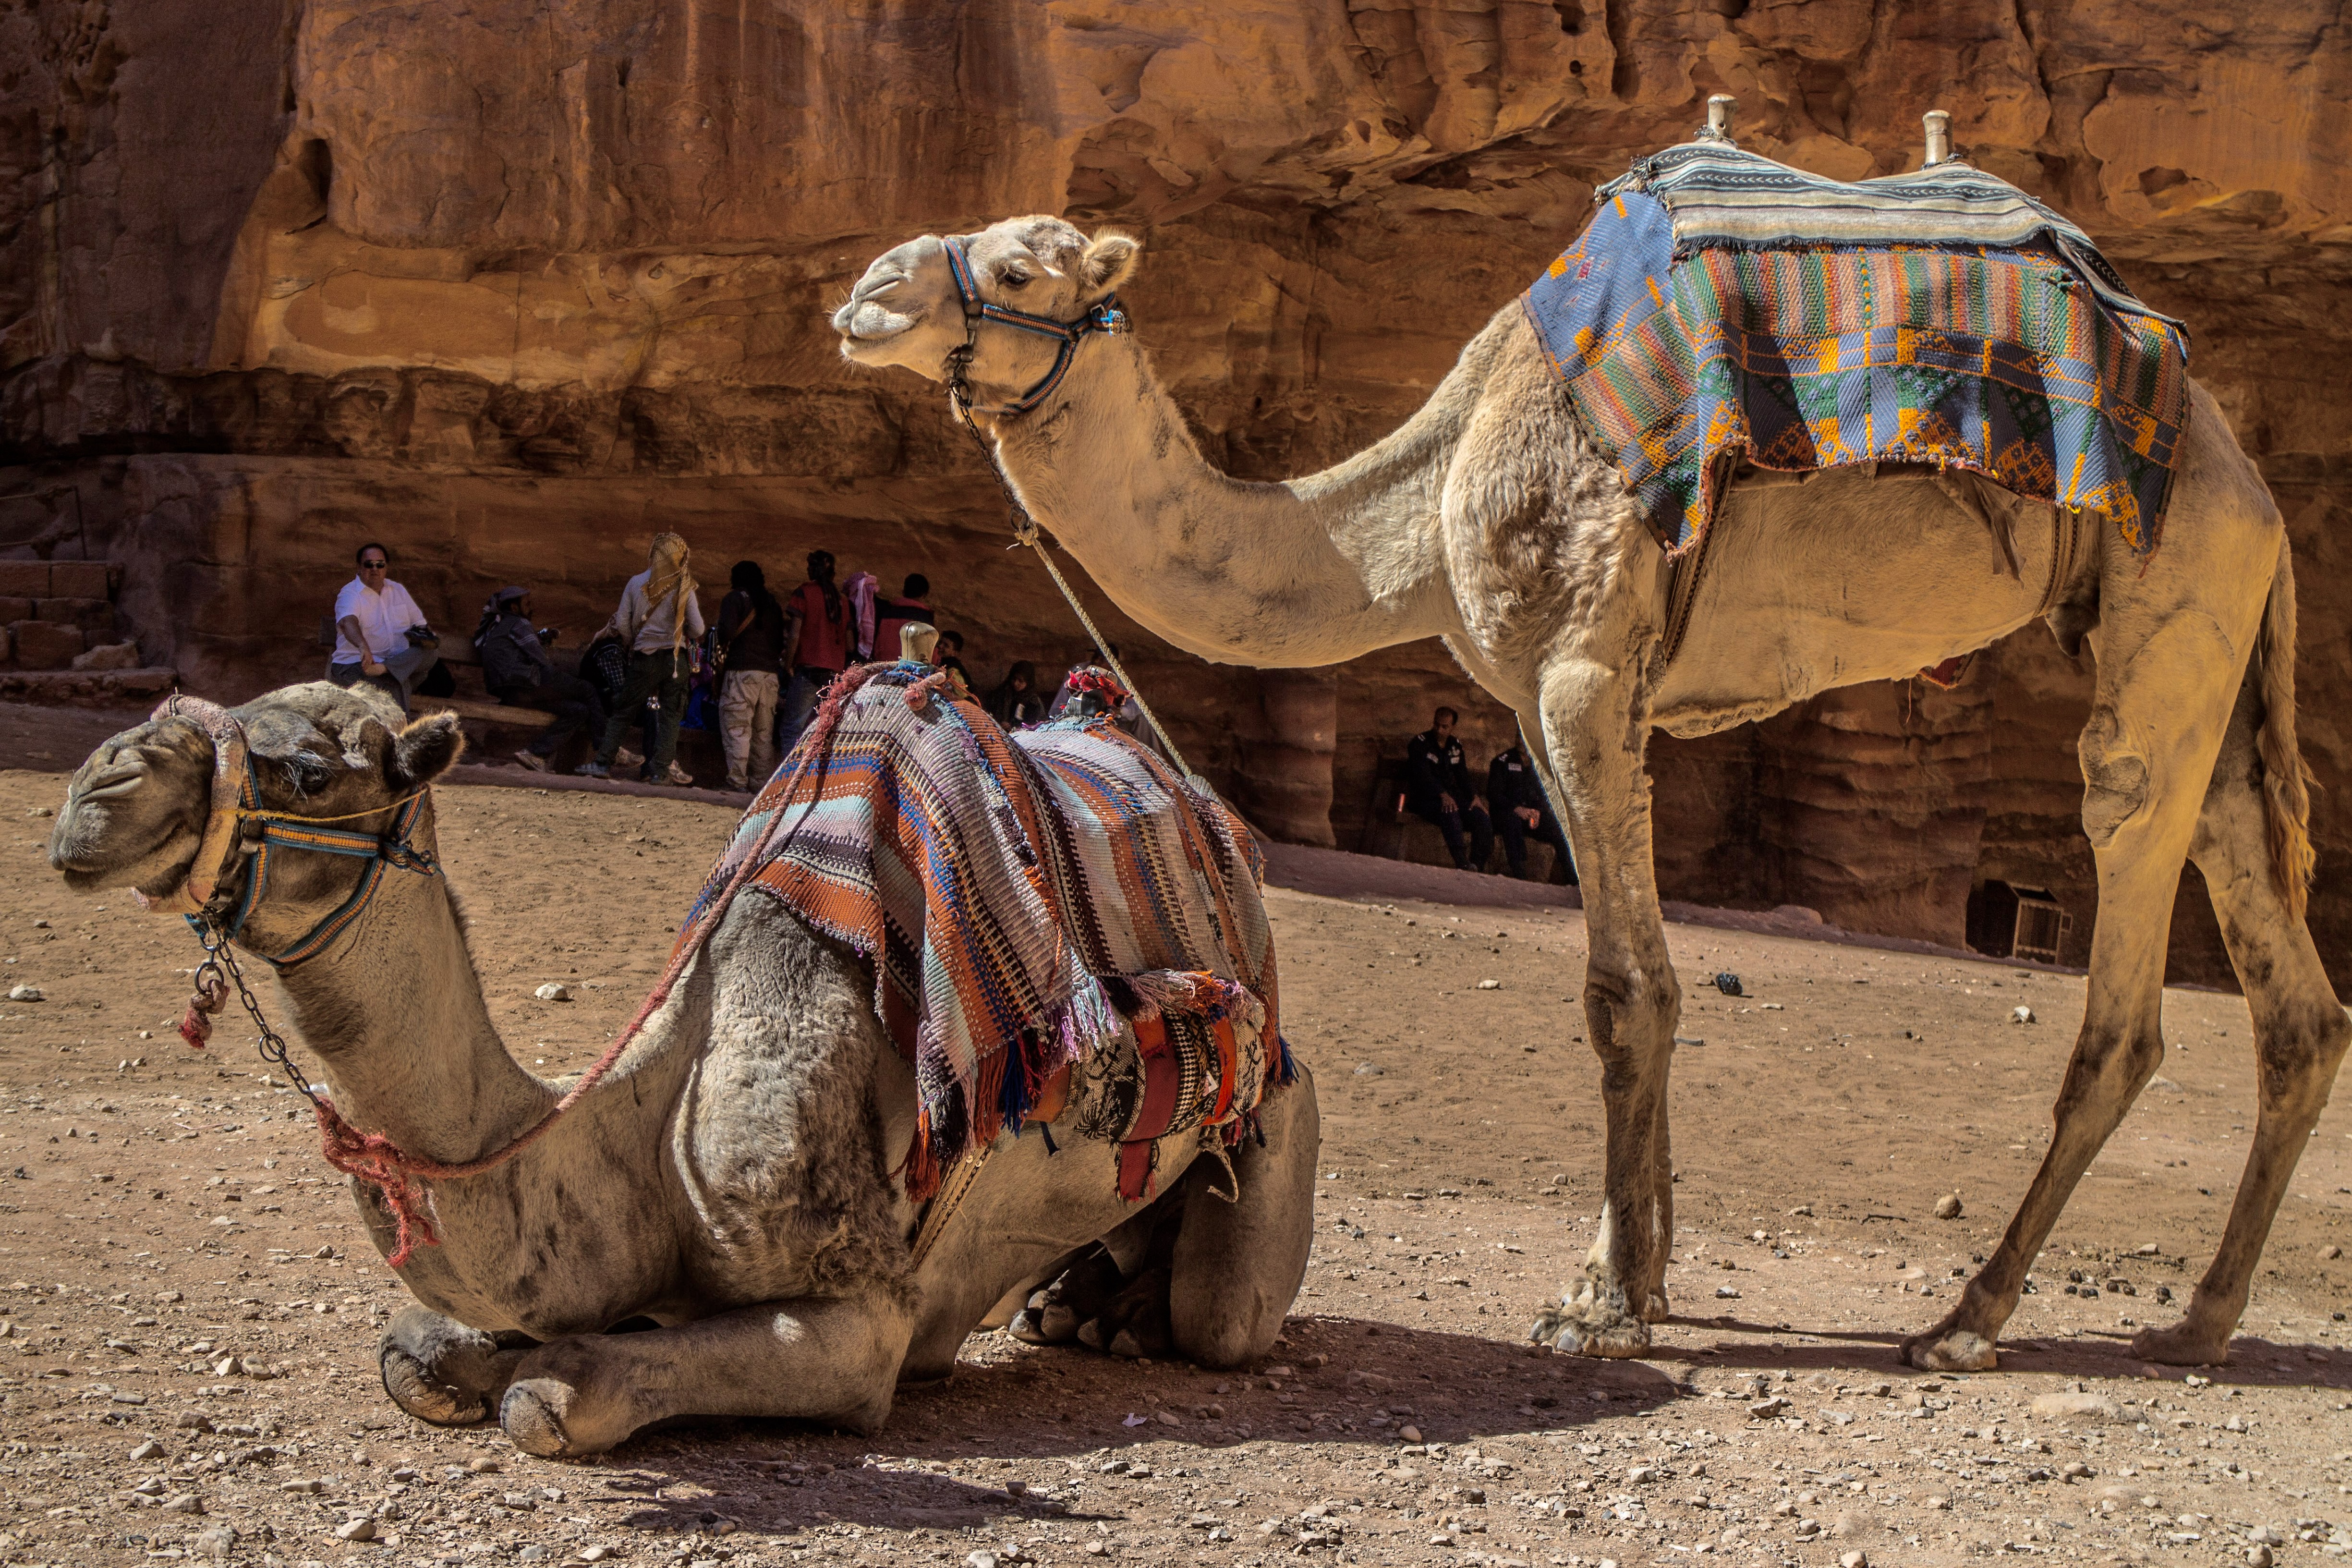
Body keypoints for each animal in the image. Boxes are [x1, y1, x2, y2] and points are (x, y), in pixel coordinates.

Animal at [47, 681, 1319, 1455]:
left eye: (312, 775)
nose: (97, 788)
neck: (639, 1143)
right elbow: (414, 1352)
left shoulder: (870, 1321)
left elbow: (558, 1393)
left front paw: (546, 1379)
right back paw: (1082, 1305)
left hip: (1277, 1105)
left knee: (1220, 1309)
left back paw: (1129, 1317)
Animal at [831, 209, 2348, 1371]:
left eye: (1020, 267)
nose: (865, 290)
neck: (1427, 491)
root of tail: (2260, 494)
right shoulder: (1541, 700)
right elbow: (1634, 983)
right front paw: (1632, 1271)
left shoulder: (1575, 667)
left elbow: (1626, 992)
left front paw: (1607, 1307)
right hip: (2204, 650)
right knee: (2289, 990)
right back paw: (2196, 1322)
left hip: (2169, 590)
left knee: (2126, 905)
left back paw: (1967, 1318)